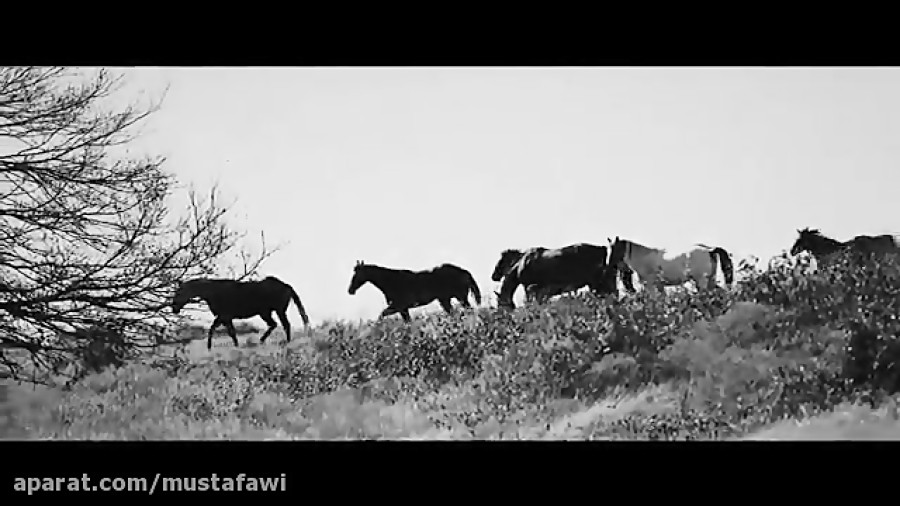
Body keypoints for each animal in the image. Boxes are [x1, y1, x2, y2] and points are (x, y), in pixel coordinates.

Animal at [171, 276, 310, 350]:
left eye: (180, 292)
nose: (174, 308)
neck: (213, 291)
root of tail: (286, 285)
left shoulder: (224, 316)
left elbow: (217, 330)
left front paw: (210, 347)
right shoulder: (224, 318)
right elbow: (227, 332)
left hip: (276, 311)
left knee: (284, 325)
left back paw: (285, 342)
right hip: (267, 312)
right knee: (275, 325)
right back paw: (263, 341)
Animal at [348, 260, 481, 322]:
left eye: (356, 275)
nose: (350, 290)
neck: (392, 281)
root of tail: (464, 271)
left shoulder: (399, 306)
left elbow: (381, 315)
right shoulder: (403, 309)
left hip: (460, 298)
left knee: (469, 311)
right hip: (445, 300)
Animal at [491, 245, 635, 308]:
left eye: (500, 304)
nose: (494, 276)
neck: (522, 264)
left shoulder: (530, 289)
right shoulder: (542, 293)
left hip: (598, 284)